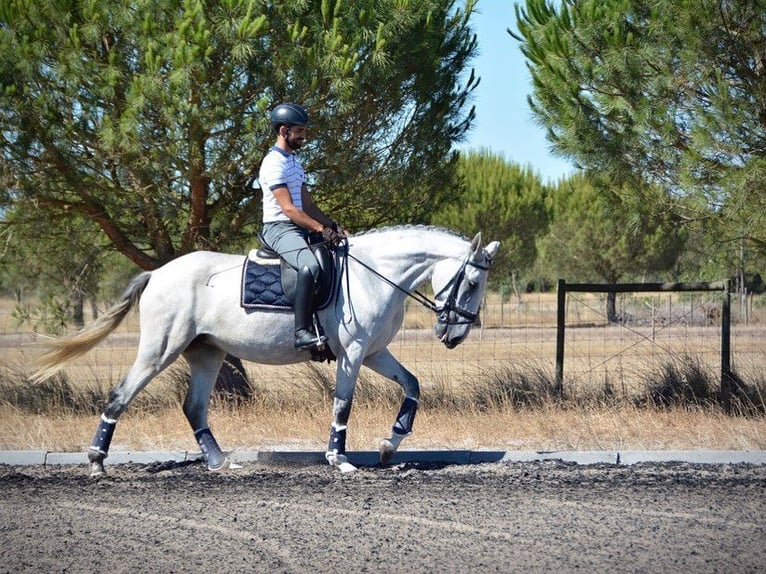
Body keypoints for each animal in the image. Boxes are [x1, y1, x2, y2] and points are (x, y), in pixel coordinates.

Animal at [34, 226, 504, 476]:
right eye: (472, 282)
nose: (454, 336)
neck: (375, 275)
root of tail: (158, 273)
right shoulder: (353, 353)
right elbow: (343, 403)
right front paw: (338, 458)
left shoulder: (374, 353)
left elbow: (412, 386)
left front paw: (390, 446)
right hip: (160, 350)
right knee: (120, 396)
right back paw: (97, 461)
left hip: (205, 353)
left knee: (194, 407)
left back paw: (219, 462)